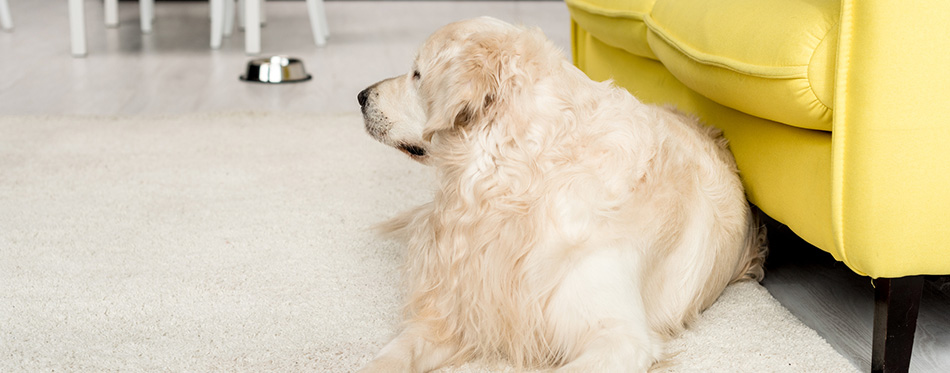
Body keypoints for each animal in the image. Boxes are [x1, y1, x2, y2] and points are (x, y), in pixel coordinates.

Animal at [356, 16, 768, 370]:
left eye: (417, 74)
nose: (361, 96)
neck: (517, 183)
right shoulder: (462, 311)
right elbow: (392, 356)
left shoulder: (619, 338)